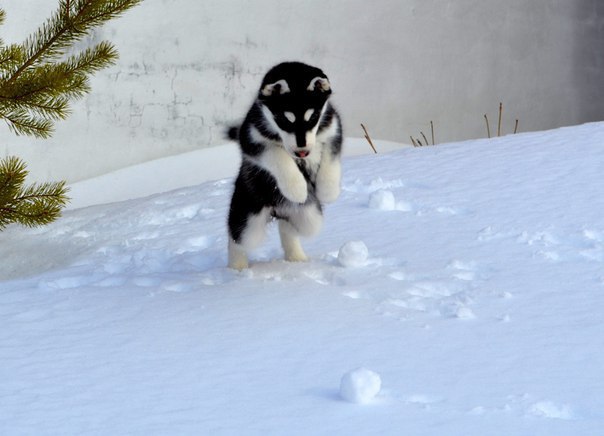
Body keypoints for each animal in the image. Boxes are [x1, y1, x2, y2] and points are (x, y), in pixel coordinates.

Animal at [226, 61, 342, 270]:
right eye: (285, 120)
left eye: (313, 117)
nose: (302, 150)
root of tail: (276, 210)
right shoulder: (250, 138)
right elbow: (278, 155)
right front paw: (296, 188)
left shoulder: (334, 129)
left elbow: (331, 156)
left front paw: (328, 191)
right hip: (249, 213)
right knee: (239, 237)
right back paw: (236, 267)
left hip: (309, 215)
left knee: (290, 226)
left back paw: (295, 257)